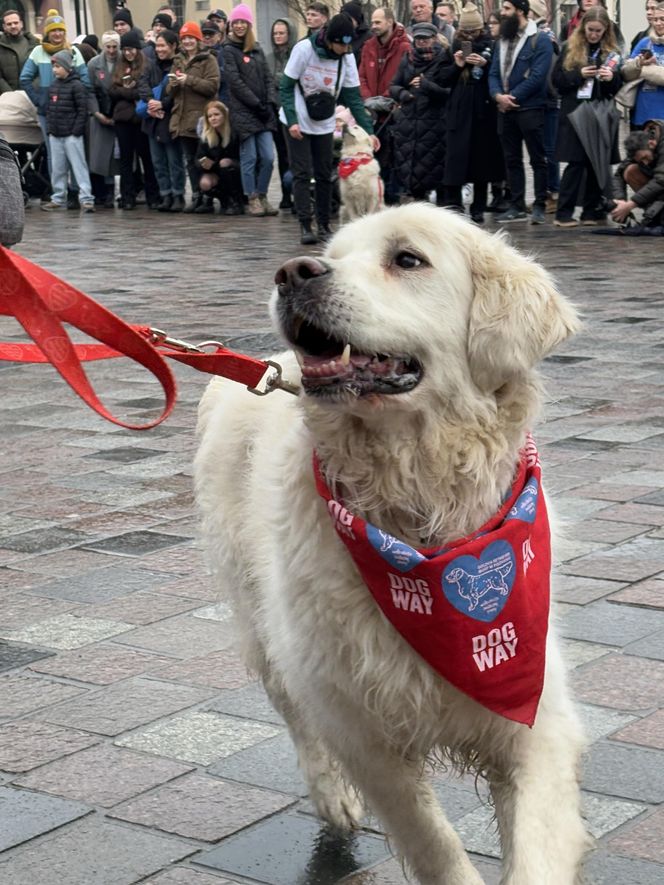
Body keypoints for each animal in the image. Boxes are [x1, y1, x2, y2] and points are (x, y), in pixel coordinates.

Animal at [195, 207, 588, 884]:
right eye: (331, 253)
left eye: (407, 259)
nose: (292, 271)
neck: (421, 520)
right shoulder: (360, 727)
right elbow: (433, 844)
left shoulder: (534, 712)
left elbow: (535, 851)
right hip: (268, 629)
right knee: (295, 714)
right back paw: (331, 798)